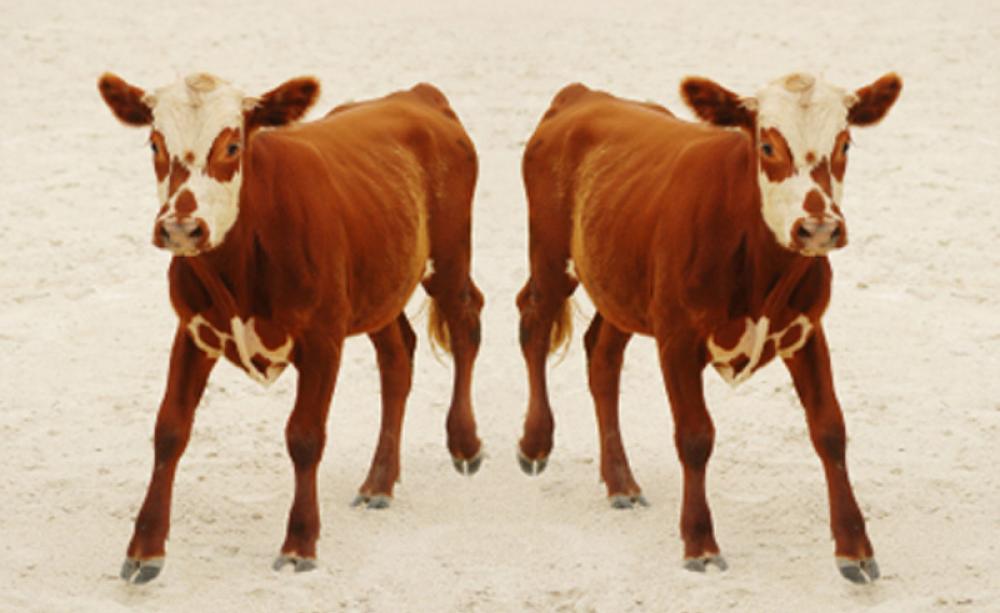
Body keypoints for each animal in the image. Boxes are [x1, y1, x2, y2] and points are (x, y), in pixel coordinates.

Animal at [98, 72, 484, 583]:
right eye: (155, 143)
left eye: (232, 145)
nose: (181, 228)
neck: (241, 261)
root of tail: (417, 95)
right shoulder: (193, 334)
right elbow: (170, 430)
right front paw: (145, 548)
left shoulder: (322, 339)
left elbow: (304, 436)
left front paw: (300, 542)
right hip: (381, 285)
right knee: (397, 359)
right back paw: (380, 480)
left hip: (449, 257)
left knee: (466, 323)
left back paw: (465, 443)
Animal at [515, 72, 901, 583]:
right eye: (767, 145)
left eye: (844, 143)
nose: (818, 228)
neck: (759, 261)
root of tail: (582, 95)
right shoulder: (677, 339)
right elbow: (695, 436)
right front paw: (699, 542)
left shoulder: (806, 334)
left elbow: (829, 430)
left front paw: (854, 548)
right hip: (551, 256)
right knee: (533, 322)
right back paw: (535, 442)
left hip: (618, 285)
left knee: (602, 358)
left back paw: (620, 481)